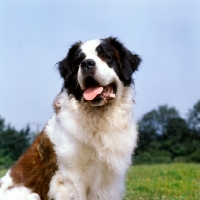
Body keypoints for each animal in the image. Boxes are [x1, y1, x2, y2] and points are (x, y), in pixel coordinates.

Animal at [0, 36, 141, 199]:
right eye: (79, 60)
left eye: (105, 56)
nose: (86, 64)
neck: (98, 116)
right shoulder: (71, 177)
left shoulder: (109, 182)